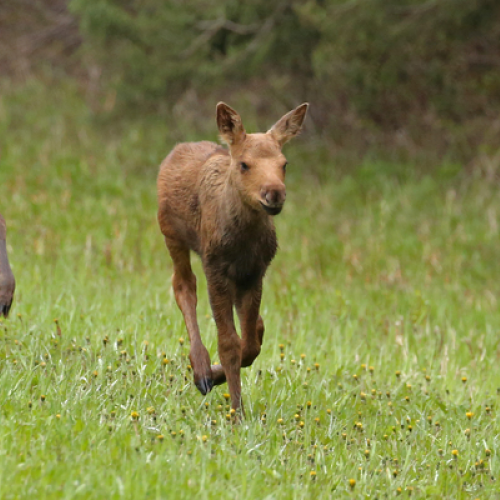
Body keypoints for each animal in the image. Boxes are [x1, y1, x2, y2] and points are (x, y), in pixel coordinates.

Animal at [157, 102, 308, 413]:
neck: (243, 241)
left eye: (284, 163)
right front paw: (235, 412)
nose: (274, 193)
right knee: (183, 286)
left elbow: (248, 344)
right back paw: (200, 368)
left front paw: (221, 379)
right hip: (171, 235)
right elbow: (229, 344)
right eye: (244, 164)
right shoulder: (216, 268)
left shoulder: (256, 271)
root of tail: (178, 149)